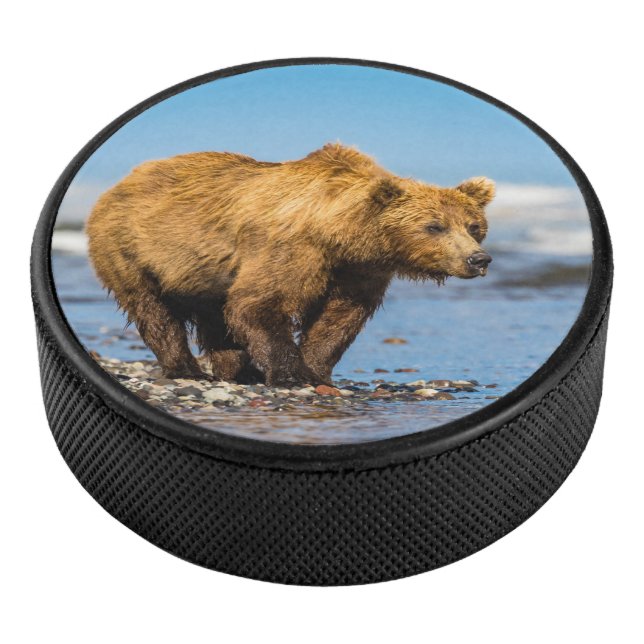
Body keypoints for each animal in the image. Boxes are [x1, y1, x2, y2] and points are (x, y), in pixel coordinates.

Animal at [86, 143, 494, 387]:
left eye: (474, 226)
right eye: (434, 226)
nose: (478, 259)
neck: (339, 233)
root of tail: (119, 184)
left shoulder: (358, 269)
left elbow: (339, 317)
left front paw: (315, 369)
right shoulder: (293, 248)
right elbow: (259, 303)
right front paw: (291, 374)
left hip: (205, 274)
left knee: (216, 316)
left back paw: (238, 371)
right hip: (132, 248)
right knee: (153, 308)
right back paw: (186, 368)